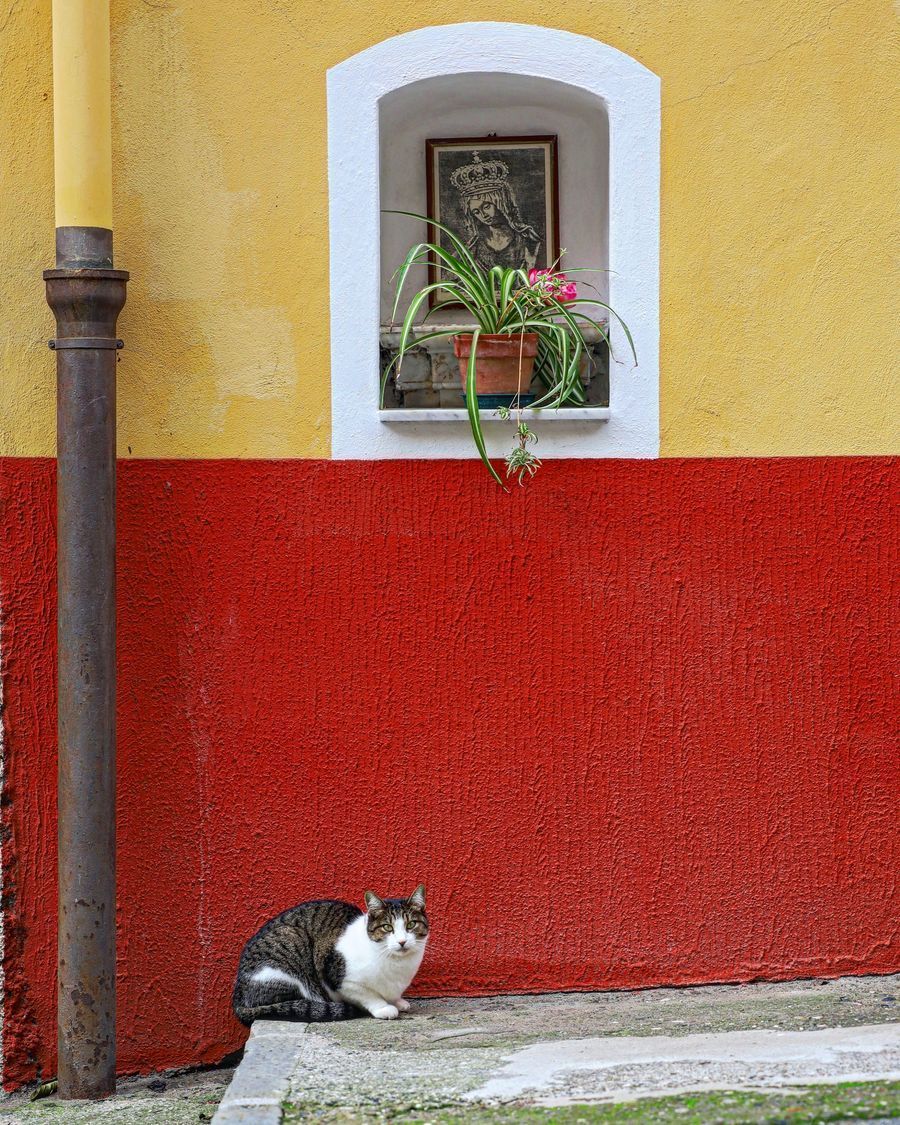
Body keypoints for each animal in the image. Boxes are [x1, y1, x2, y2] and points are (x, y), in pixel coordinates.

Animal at [231, 882, 429, 1026]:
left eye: (411, 925)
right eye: (387, 927)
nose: (402, 941)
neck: (396, 965)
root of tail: (237, 998)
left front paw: (397, 1001)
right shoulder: (340, 978)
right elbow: (368, 995)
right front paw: (383, 1008)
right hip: (291, 944)